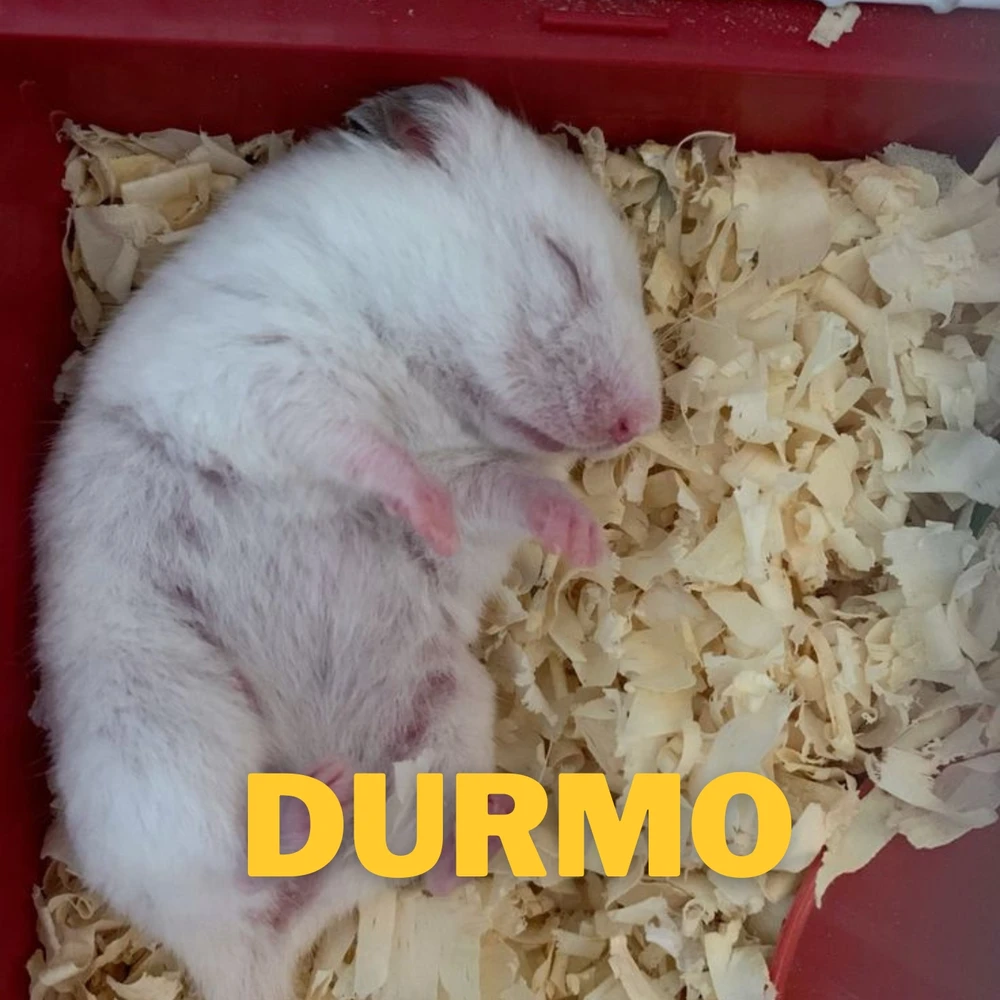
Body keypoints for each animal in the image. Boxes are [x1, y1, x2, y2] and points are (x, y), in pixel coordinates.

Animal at [33, 81, 662, 1000]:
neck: (422, 370)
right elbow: (363, 447)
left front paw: (582, 538)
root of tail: (236, 968)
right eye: (564, 265)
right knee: (225, 869)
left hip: (445, 709)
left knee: (331, 870)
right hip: (164, 729)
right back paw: (309, 808)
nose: (637, 424)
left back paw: (428, 854)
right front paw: (427, 508)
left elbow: (506, 491)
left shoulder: (473, 471)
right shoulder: (266, 365)